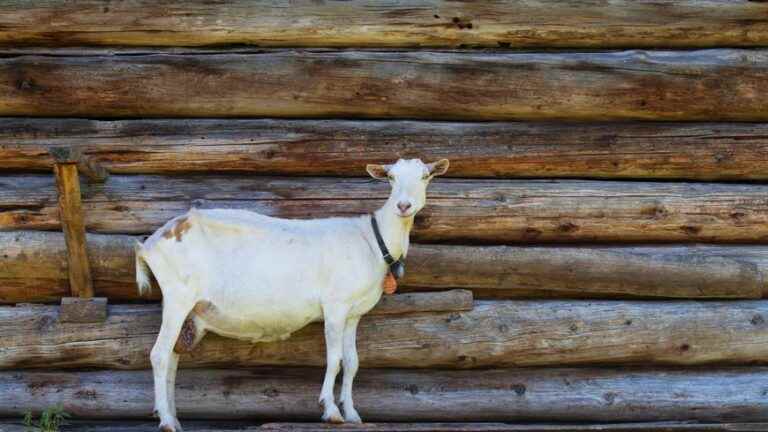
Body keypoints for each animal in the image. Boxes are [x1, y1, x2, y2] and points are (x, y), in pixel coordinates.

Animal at [134, 159, 448, 432]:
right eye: (391, 177)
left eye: (425, 176)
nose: (403, 206)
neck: (371, 240)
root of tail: (149, 244)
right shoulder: (335, 305)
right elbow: (334, 358)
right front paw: (330, 411)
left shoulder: (353, 313)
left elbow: (352, 362)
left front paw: (352, 414)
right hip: (178, 295)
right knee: (159, 354)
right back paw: (166, 421)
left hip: (186, 307)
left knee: (173, 357)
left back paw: (174, 418)